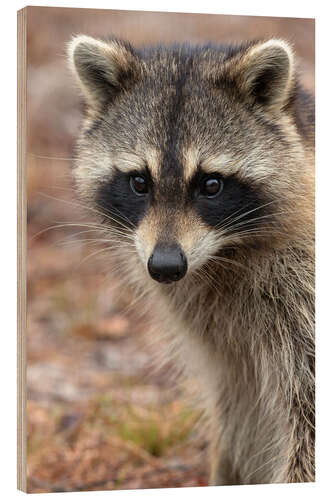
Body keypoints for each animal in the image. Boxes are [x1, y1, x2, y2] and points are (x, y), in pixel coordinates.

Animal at [68, 34, 314, 484]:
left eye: (211, 185)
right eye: (139, 182)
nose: (166, 266)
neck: (223, 256)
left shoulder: (302, 292)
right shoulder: (226, 348)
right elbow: (240, 410)